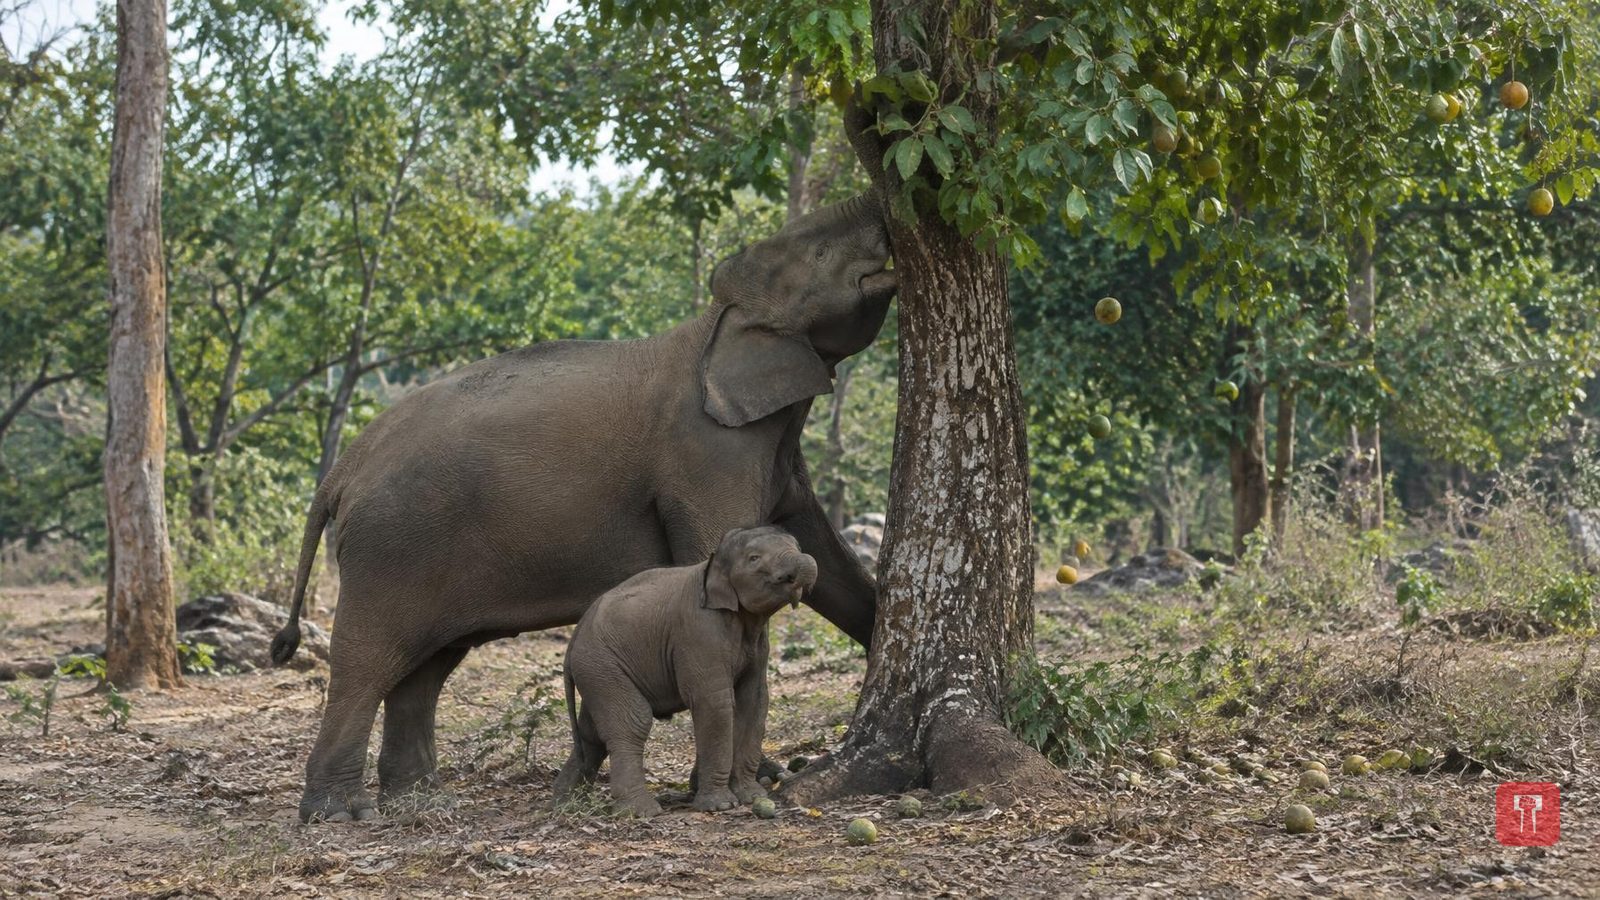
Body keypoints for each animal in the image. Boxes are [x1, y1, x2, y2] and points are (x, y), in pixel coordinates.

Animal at [554, 526, 817, 817]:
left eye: (796, 544)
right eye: (754, 558)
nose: (806, 560)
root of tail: (573, 639)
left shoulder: (759, 645)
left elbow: (754, 700)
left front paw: (751, 796)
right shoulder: (700, 633)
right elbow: (715, 704)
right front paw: (720, 805)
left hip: (597, 672)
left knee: (591, 733)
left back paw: (564, 802)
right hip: (602, 664)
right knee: (632, 721)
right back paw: (641, 811)